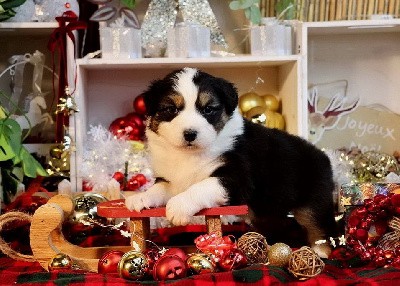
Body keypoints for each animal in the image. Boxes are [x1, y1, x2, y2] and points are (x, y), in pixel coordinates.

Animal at [126, 67, 338, 256]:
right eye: (171, 109)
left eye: (208, 109)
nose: (190, 134)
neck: (189, 155)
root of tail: (324, 157)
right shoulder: (175, 179)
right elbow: (160, 188)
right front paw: (140, 198)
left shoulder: (237, 178)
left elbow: (201, 186)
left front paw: (179, 207)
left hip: (314, 200)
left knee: (319, 224)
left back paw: (319, 252)